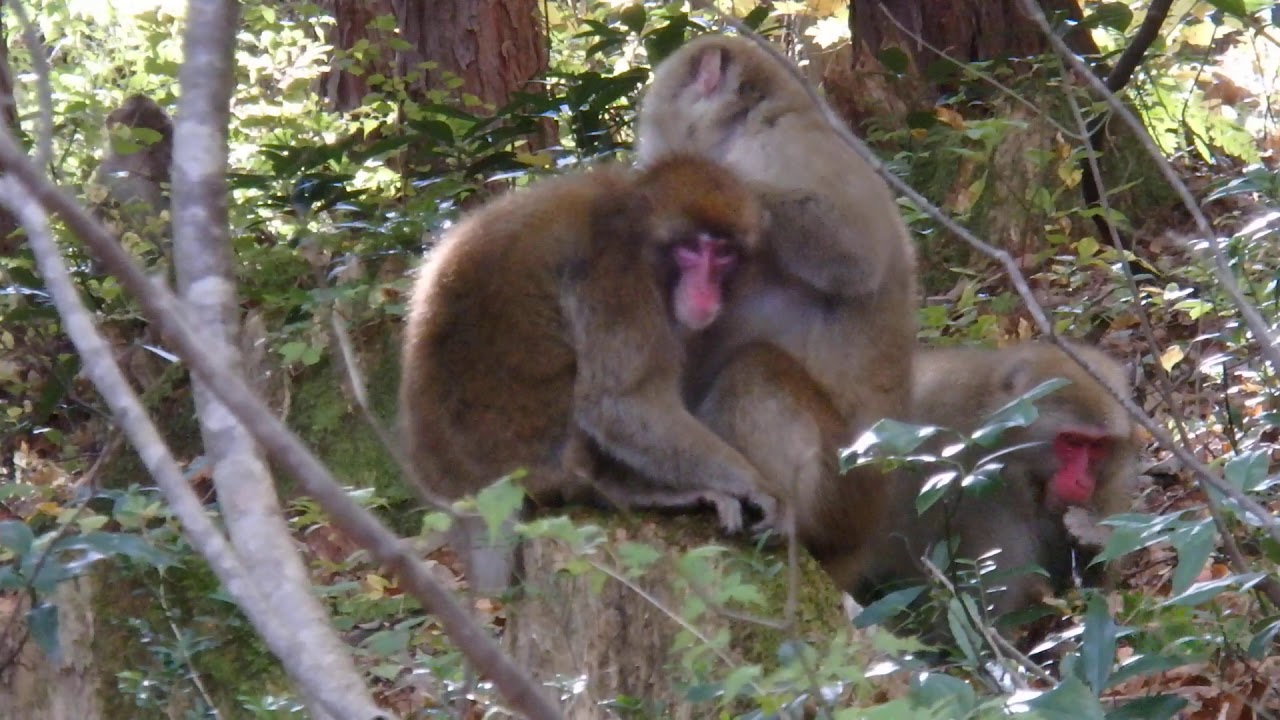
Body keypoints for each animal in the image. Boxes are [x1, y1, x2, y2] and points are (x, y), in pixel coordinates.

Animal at [398, 154, 780, 592]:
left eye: (724, 254)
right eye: (690, 250)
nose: (705, 291)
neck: (631, 219)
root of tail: (464, 497)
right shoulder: (616, 274)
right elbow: (619, 403)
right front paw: (753, 484)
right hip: (534, 463)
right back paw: (626, 492)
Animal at [633, 33, 917, 576]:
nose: (643, 147)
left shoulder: (792, 148)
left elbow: (854, 251)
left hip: (840, 489)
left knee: (756, 371)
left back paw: (784, 517)